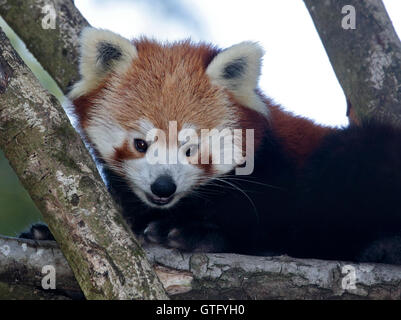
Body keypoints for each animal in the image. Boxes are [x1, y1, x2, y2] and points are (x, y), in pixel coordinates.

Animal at [23, 27, 400, 264]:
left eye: (190, 148)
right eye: (140, 143)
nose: (163, 187)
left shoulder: (278, 178)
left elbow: (271, 226)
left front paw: (195, 232)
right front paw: (49, 232)